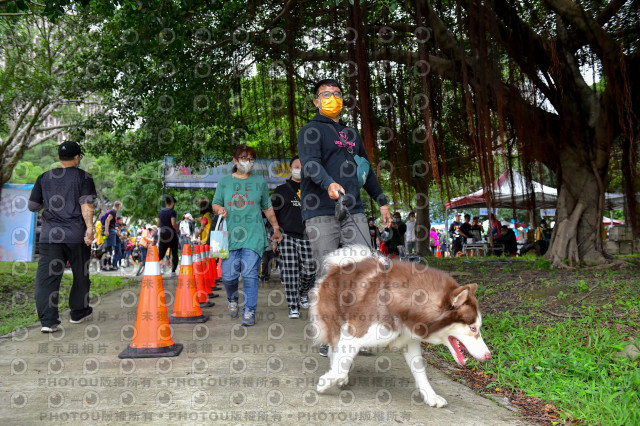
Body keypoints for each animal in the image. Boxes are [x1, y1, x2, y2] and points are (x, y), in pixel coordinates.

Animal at [310, 245, 490, 408]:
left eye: (478, 327)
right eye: (473, 328)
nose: (488, 356)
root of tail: (338, 267)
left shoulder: (409, 341)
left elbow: (420, 372)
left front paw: (431, 396)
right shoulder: (353, 333)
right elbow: (340, 367)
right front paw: (325, 383)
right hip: (336, 323)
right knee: (333, 349)